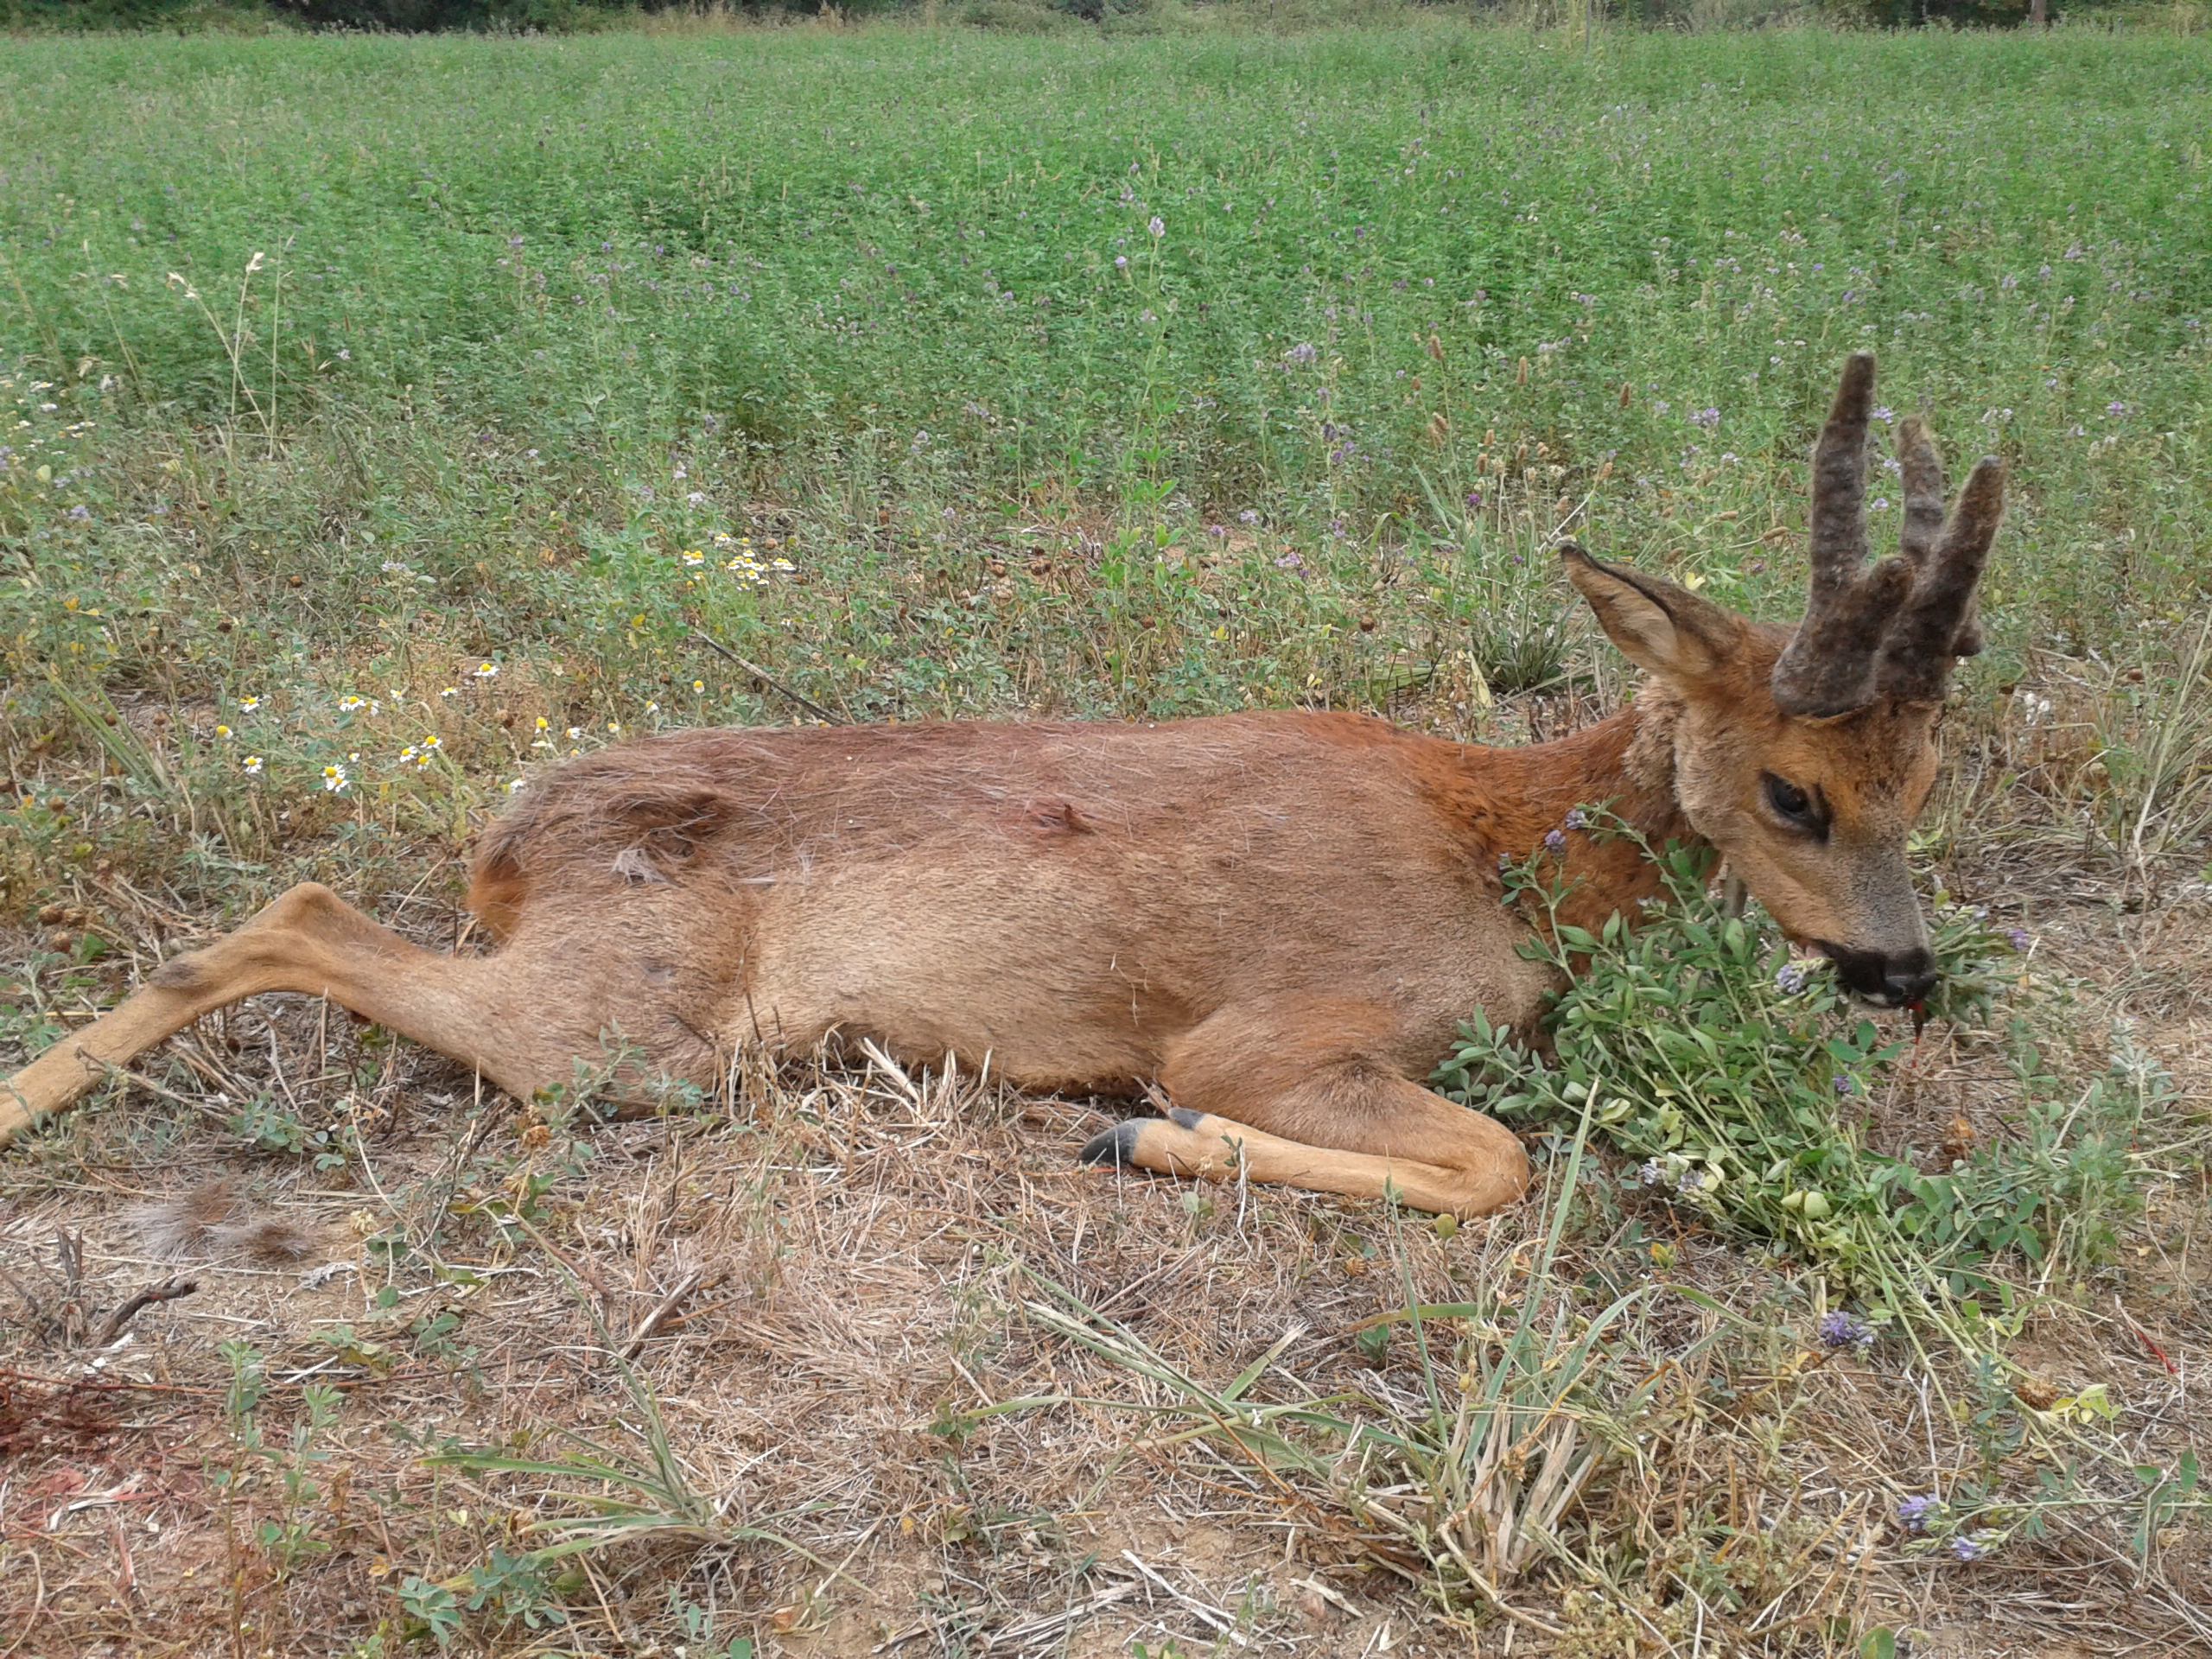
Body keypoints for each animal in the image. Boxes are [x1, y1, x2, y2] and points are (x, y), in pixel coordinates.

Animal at [4, 360, 2008, 1221]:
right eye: (1788, 792)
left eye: (1926, 767)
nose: (1905, 973)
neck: (1498, 849)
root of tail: (510, 841)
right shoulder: (1275, 1021)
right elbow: (1498, 1164)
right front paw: (1136, 1133)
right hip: (628, 1030)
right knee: (297, 911)